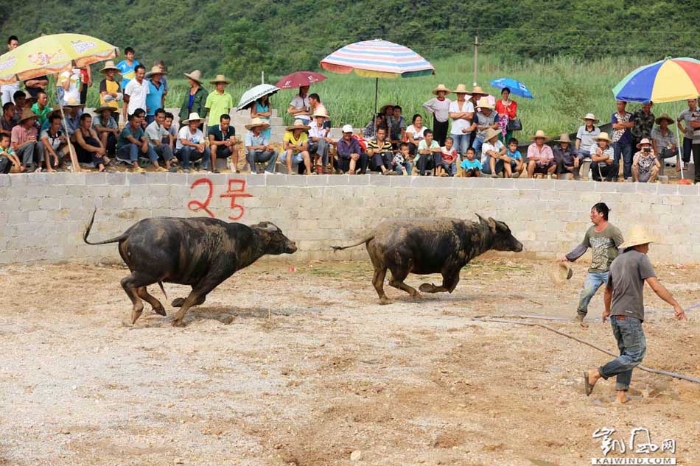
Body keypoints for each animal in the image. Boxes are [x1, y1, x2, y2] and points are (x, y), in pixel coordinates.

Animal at [85, 209, 298, 326]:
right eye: (279, 234)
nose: (293, 244)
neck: (240, 241)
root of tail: (129, 232)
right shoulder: (215, 276)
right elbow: (196, 296)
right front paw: (178, 319)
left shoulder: (200, 278)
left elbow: (198, 298)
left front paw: (176, 302)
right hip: (150, 272)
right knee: (127, 284)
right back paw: (138, 311)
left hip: (142, 271)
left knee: (140, 289)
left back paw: (159, 307)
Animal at [330, 216, 524, 304]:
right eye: (506, 233)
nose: (520, 245)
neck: (472, 234)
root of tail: (376, 232)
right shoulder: (450, 268)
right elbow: (448, 286)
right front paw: (426, 287)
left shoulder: (454, 269)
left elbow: (452, 286)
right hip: (402, 266)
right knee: (394, 281)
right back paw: (415, 293)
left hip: (380, 265)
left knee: (377, 282)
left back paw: (385, 299)